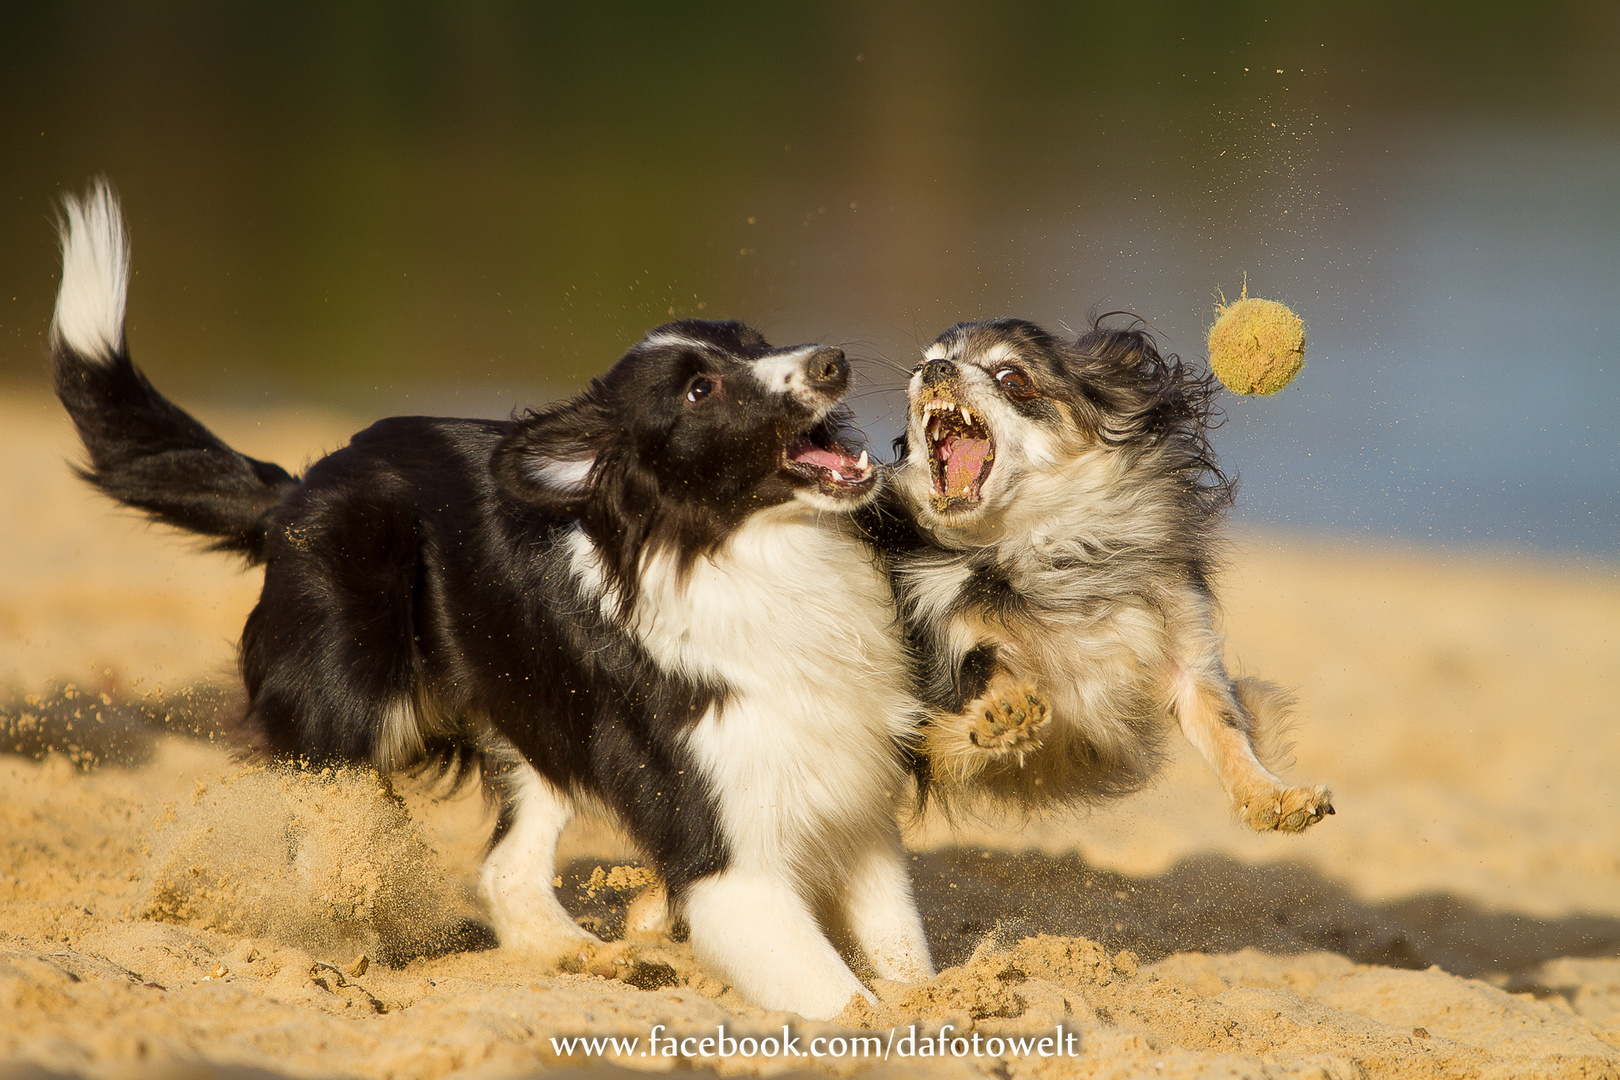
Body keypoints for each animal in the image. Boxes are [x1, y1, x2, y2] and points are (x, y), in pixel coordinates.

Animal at [50, 186, 933, 1023]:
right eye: (699, 389)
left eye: (755, 341)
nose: (832, 360)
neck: (738, 551)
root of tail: (297, 488)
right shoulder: (725, 852)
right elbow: (843, 999)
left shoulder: (852, 800)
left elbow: (904, 952)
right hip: (352, 713)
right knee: (331, 841)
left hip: (530, 715)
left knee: (505, 867)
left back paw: (590, 954)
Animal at [868, 317, 1334, 835]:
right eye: (925, 362)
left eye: (1013, 379)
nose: (933, 369)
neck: (1051, 549)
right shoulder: (947, 664)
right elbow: (979, 685)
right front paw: (1000, 713)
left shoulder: (1186, 650)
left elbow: (1226, 729)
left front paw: (1272, 796)